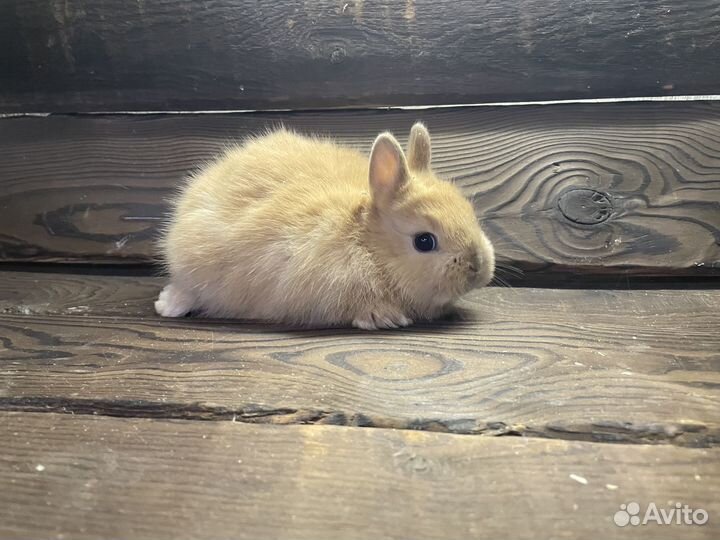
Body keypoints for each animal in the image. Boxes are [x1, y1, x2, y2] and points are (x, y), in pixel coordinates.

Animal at [155, 122, 494, 329]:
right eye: (424, 241)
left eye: (468, 211)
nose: (477, 266)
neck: (367, 243)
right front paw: (384, 317)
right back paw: (168, 305)